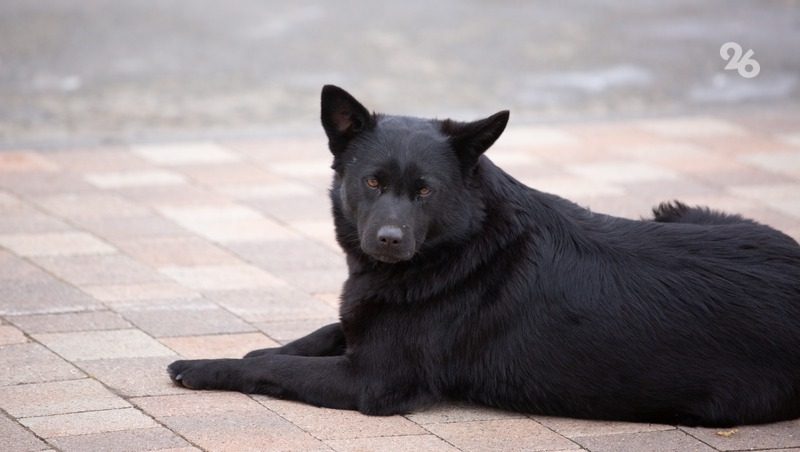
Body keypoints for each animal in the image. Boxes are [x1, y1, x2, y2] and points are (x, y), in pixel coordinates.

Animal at [169, 85, 800, 428]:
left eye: (425, 191)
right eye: (372, 182)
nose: (389, 240)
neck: (461, 245)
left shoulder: (373, 381)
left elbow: (273, 367)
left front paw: (203, 367)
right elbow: (321, 331)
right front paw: (255, 347)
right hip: (679, 210)